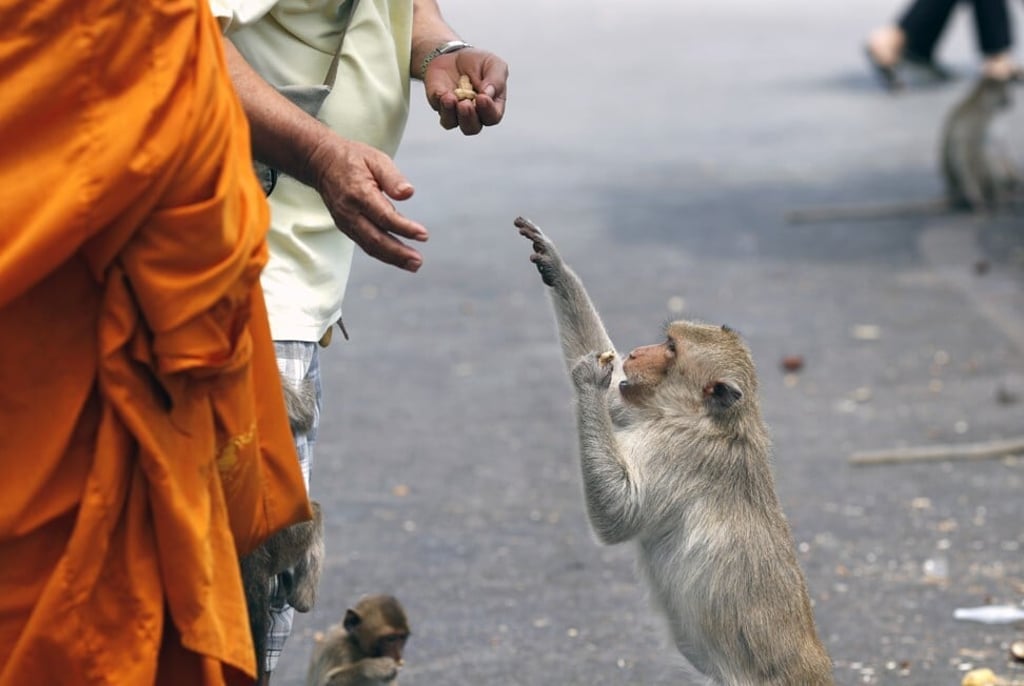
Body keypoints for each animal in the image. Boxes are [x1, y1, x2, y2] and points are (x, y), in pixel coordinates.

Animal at [515, 216, 834, 686]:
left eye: (670, 349)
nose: (635, 353)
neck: (707, 418)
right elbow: (616, 401)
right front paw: (556, 265)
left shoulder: (677, 451)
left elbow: (622, 512)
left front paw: (588, 379)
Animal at [786, 76, 1019, 224]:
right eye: (1004, 94)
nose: (1011, 101)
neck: (981, 102)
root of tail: (952, 192)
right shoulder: (977, 120)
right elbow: (966, 154)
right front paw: (981, 203)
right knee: (982, 155)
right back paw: (997, 196)